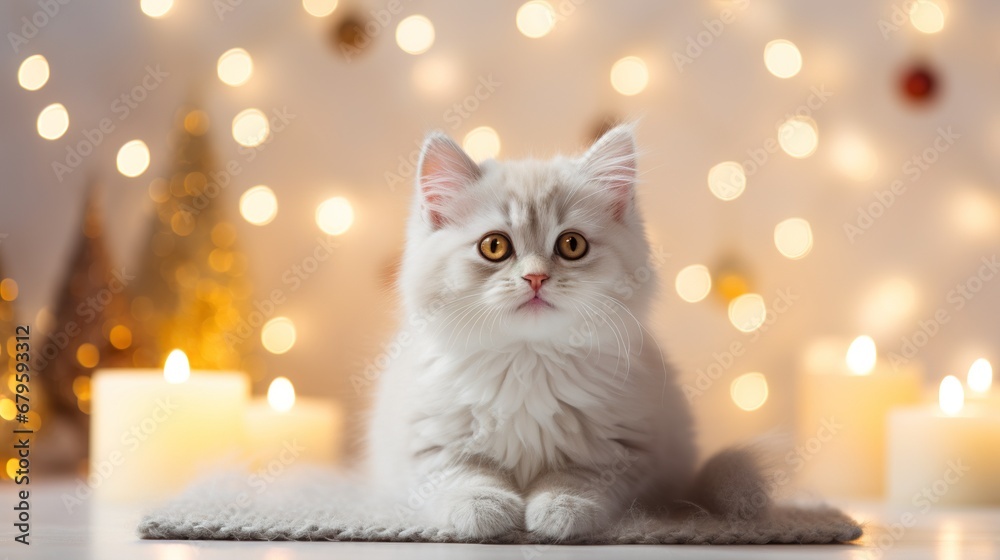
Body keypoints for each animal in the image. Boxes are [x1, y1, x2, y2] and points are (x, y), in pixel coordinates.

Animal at [368, 126, 764, 540]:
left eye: (572, 245)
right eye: (494, 246)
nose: (535, 277)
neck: (527, 361)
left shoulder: (621, 450)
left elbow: (575, 479)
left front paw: (562, 509)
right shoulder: (430, 445)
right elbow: (466, 475)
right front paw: (481, 507)